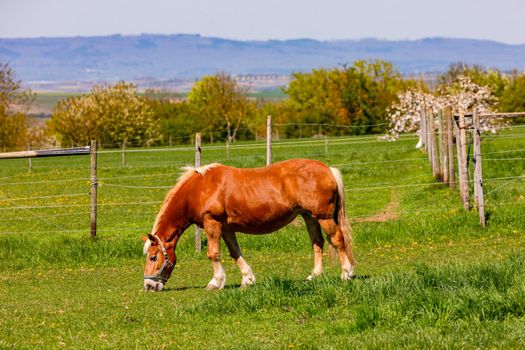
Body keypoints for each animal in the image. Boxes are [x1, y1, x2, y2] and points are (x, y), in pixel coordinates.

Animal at [143, 157, 354, 292]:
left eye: (153, 257)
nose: (148, 286)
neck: (198, 189)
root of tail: (329, 169)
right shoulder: (226, 228)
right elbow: (235, 252)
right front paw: (248, 279)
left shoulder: (212, 223)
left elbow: (213, 254)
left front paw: (216, 282)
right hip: (309, 217)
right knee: (317, 243)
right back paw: (313, 276)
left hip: (323, 217)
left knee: (337, 239)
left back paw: (347, 273)